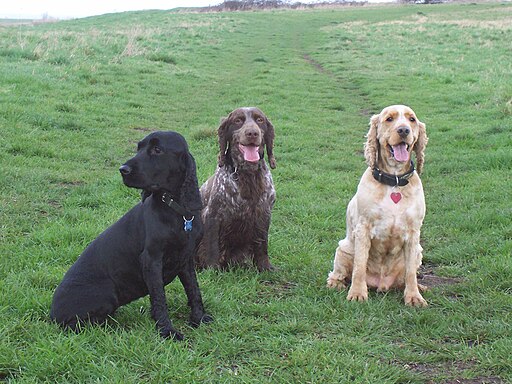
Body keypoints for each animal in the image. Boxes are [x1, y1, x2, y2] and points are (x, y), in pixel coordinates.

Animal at [50, 131, 212, 340]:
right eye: (139, 147)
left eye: (157, 149)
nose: (123, 170)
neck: (176, 212)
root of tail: (52, 314)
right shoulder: (152, 260)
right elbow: (159, 297)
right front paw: (167, 330)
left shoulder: (185, 259)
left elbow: (193, 289)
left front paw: (199, 318)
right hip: (107, 293)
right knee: (76, 325)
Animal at [196, 106, 276, 272]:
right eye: (238, 120)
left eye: (260, 120)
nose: (252, 133)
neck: (248, 174)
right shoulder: (213, 216)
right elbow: (212, 247)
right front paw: (212, 270)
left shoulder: (264, 214)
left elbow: (262, 245)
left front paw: (265, 267)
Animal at [328, 104, 428, 306]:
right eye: (389, 119)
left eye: (411, 119)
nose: (404, 130)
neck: (394, 181)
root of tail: (381, 284)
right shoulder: (363, 228)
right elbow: (359, 266)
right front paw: (357, 293)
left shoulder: (414, 232)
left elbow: (411, 273)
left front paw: (414, 296)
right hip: (342, 249)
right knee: (339, 273)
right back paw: (336, 283)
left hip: (419, 252)